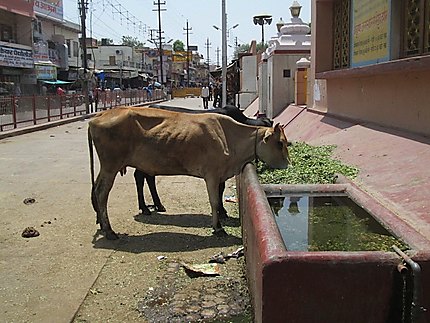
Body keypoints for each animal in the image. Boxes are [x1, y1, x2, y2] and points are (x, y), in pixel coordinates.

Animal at [87, 107, 288, 240]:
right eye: (280, 143)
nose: (287, 164)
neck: (229, 136)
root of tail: (98, 117)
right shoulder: (212, 175)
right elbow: (215, 202)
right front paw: (218, 227)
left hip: (108, 167)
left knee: (98, 189)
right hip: (111, 166)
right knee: (102, 193)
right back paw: (110, 230)